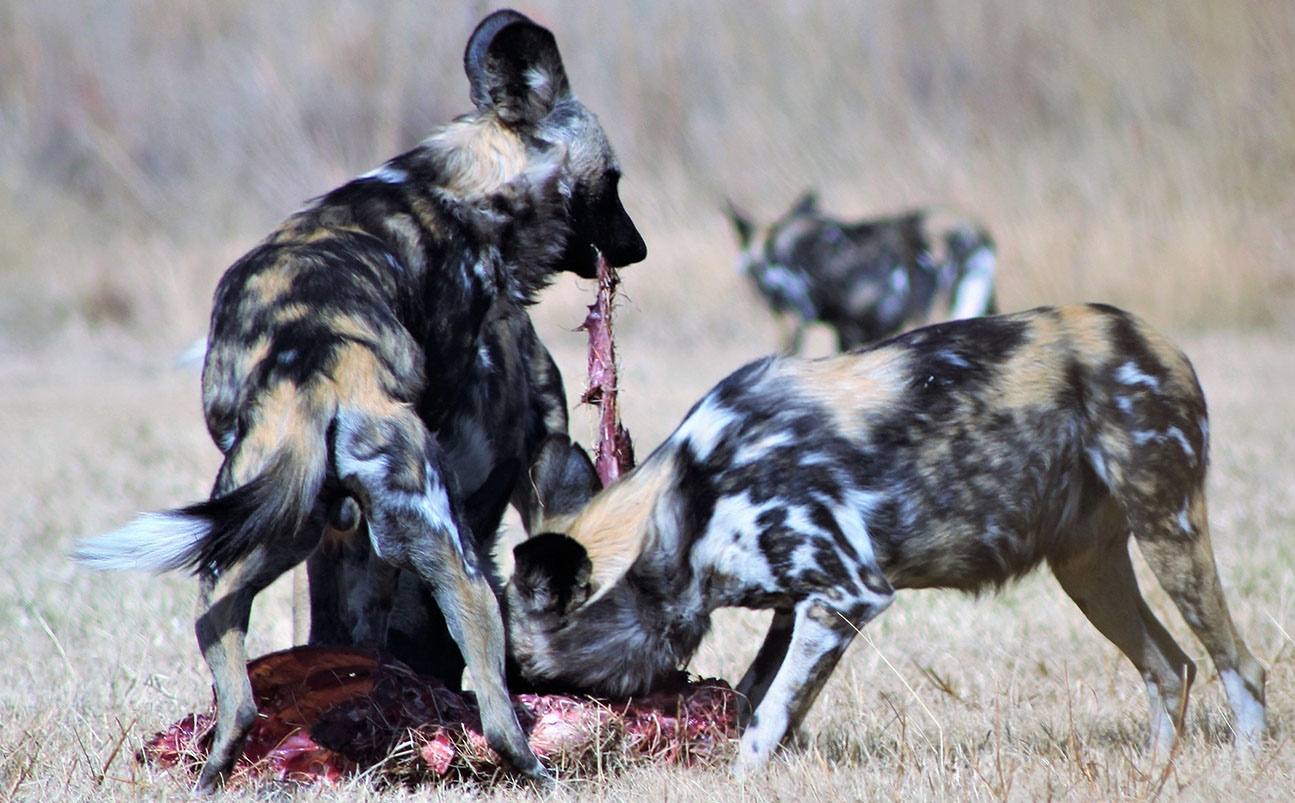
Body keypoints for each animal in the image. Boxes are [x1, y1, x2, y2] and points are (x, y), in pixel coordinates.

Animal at [73, 11, 644, 792]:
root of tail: (317, 368)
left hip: (254, 545)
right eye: (610, 181)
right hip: (454, 560)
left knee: (236, 690)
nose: (637, 249)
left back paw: (218, 769)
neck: (455, 186)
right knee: (495, 700)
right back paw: (537, 768)